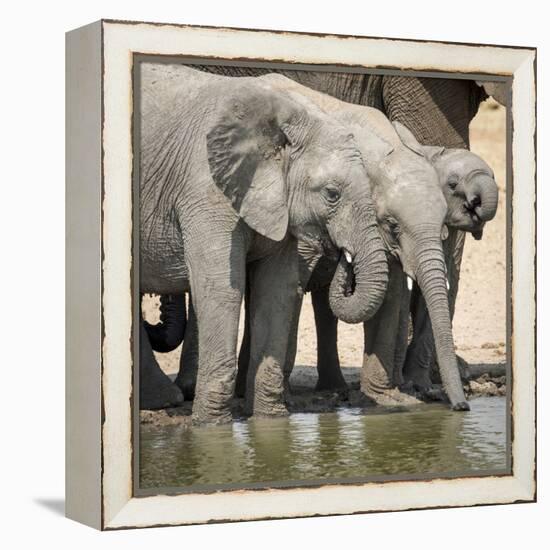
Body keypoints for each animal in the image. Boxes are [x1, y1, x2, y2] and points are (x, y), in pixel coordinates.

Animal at [138, 66, 390, 426]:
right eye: (331, 194)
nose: (343, 254)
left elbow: (277, 291)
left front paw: (271, 421)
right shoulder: (205, 191)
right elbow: (221, 291)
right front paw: (211, 429)